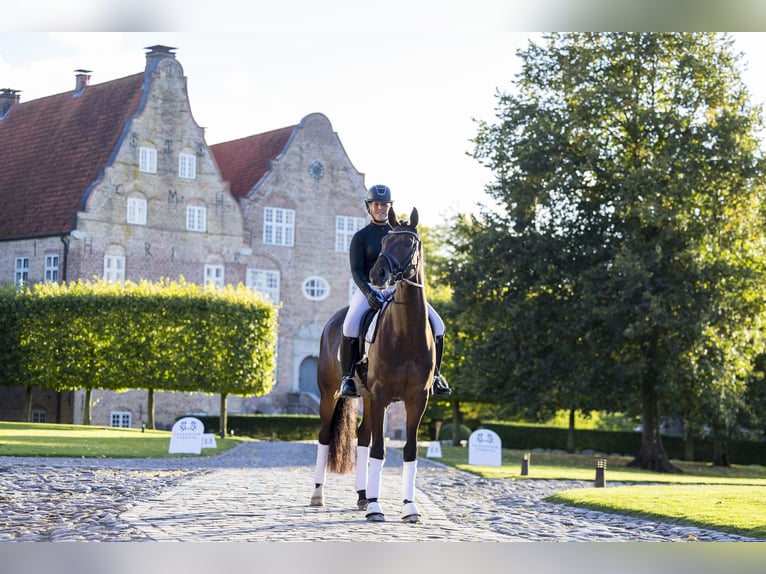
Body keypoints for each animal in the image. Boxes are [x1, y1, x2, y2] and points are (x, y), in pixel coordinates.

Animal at [308, 207, 436, 528]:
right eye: (385, 243)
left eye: (408, 243)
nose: (378, 275)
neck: (406, 332)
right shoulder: (380, 395)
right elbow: (379, 449)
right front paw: (377, 508)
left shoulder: (417, 399)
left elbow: (409, 450)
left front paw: (409, 508)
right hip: (331, 394)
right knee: (325, 436)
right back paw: (318, 494)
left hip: (367, 397)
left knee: (362, 437)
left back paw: (363, 495)